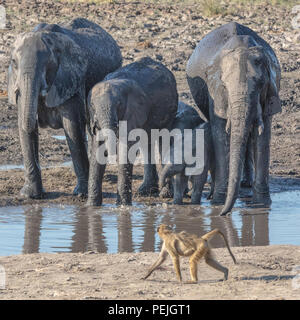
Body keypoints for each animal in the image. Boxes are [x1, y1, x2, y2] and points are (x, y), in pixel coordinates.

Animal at [7, 18, 122, 198]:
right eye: (13, 62)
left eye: (48, 64)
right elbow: (25, 128)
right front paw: (29, 195)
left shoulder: (70, 79)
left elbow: (72, 128)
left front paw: (81, 194)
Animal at [85, 56, 178, 206]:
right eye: (92, 105)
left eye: (119, 104)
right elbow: (97, 150)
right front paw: (91, 206)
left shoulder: (133, 111)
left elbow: (126, 149)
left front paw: (123, 206)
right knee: (147, 143)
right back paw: (146, 191)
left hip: (170, 110)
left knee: (163, 141)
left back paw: (165, 194)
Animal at [186, 20, 282, 215]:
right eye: (225, 87)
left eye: (261, 84)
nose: (224, 214)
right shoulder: (214, 92)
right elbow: (220, 134)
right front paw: (218, 202)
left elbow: (263, 137)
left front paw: (262, 205)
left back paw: (246, 184)